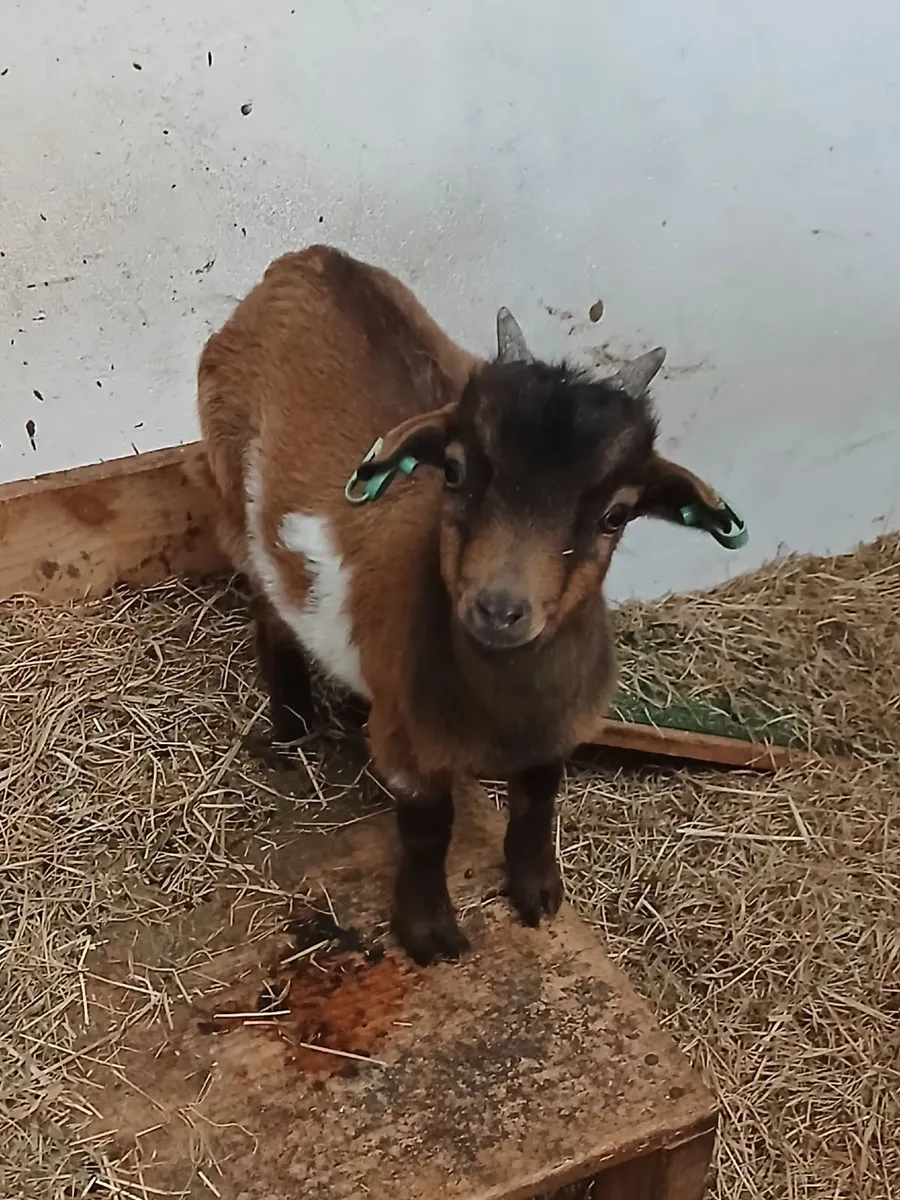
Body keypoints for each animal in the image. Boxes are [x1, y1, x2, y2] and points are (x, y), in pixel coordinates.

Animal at [197, 244, 742, 965]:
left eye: (616, 513)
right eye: (453, 471)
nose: (499, 609)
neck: (503, 710)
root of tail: (308, 258)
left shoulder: (556, 729)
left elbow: (538, 802)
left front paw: (536, 892)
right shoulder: (412, 749)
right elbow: (428, 830)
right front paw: (428, 932)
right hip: (231, 491)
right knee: (270, 608)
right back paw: (290, 729)